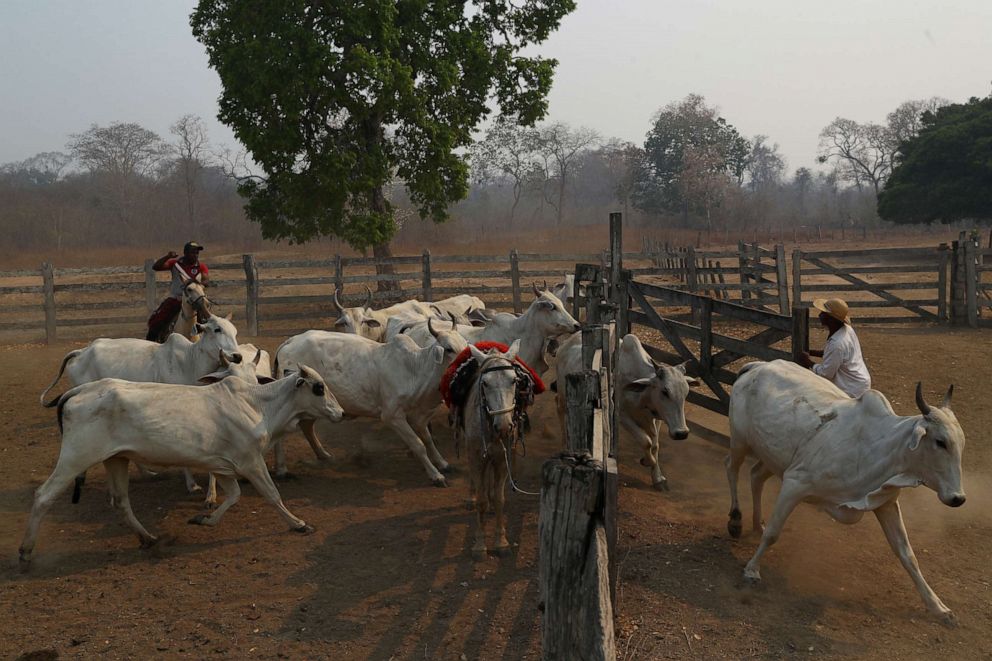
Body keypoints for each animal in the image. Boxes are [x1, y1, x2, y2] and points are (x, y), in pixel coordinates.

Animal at [18, 364, 344, 564]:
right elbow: (272, 495)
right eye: (318, 387)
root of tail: (79, 391)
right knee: (44, 496)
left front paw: (204, 519)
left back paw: (148, 538)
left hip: (116, 460)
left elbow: (234, 496)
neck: (258, 405)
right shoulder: (251, 462)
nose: (340, 412)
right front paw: (299, 524)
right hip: (76, 457)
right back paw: (25, 551)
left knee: (121, 501)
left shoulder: (223, 465)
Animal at [274, 320, 470, 484]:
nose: (469, 364)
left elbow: (428, 439)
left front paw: (443, 463)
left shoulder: (417, 416)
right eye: (449, 349)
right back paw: (282, 470)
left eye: (465, 345)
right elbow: (418, 444)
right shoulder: (392, 416)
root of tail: (289, 342)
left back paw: (323, 455)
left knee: (307, 426)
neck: (414, 369)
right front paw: (436, 475)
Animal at [556, 332, 700, 488]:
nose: (682, 433)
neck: (643, 395)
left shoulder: (657, 417)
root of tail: (566, 343)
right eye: (665, 391)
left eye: (686, 392)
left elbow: (655, 446)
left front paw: (657, 477)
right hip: (563, 394)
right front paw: (647, 461)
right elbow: (646, 441)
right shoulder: (622, 415)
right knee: (560, 410)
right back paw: (564, 445)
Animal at [724, 360, 964, 624]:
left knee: (756, 476)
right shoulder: (795, 483)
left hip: (773, 456)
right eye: (940, 442)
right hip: (740, 441)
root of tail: (758, 365)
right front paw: (752, 570)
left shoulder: (885, 504)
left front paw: (938, 607)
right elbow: (774, 534)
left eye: (961, 444)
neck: (877, 448)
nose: (958, 498)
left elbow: (907, 555)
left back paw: (757, 523)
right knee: (732, 468)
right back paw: (735, 520)